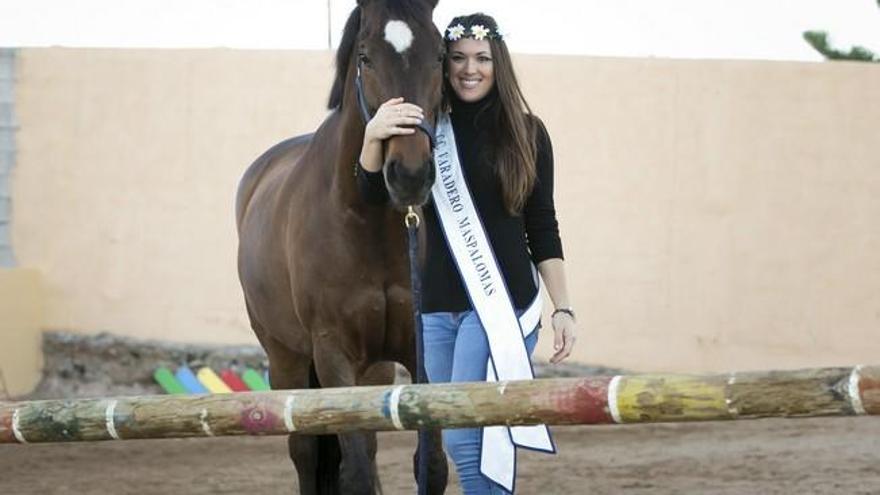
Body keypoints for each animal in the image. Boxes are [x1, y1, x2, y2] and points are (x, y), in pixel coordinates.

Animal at [234, 0, 446, 495]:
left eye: (440, 55)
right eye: (365, 57)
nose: (409, 174)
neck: (362, 218)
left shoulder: (415, 347)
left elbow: (430, 464)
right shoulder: (333, 356)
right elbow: (355, 472)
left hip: (372, 369)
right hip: (286, 358)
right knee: (306, 452)